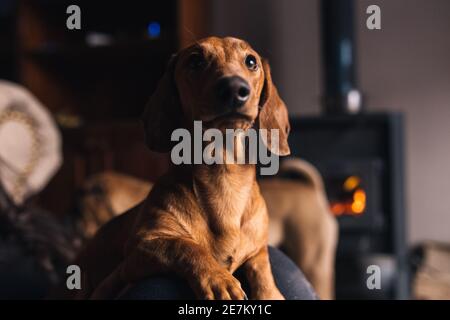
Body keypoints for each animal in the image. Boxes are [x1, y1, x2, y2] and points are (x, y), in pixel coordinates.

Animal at [59, 37, 290, 300]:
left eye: (251, 61)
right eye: (195, 60)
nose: (234, 89)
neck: (224, 180)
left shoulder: (258, 249)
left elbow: (262, 267)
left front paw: (270, 292)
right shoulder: (140, 247)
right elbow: (184, 245)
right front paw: (219, 278)